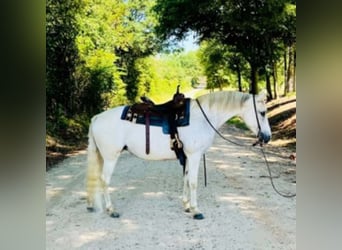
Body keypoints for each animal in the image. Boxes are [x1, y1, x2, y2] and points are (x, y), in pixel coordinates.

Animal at [87, 89, 272, 219]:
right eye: (262, 113)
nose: (267, 137)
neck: (203, 118)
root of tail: (97, 117)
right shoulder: (195, 155)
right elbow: (193, 182)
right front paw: (196, 210)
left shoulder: (188, 156)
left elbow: (186, 179)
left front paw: (187, 206)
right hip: (111, 157)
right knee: (104, 180)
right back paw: (111, 210)